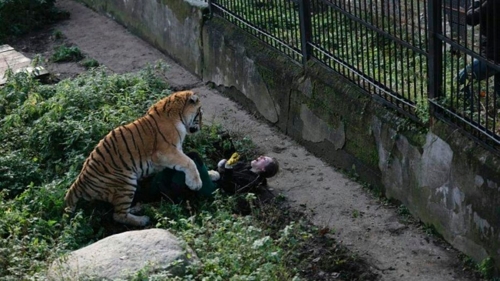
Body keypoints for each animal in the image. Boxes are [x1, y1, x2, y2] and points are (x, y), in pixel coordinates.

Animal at [64, 89, 203, 225]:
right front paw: (195, 184)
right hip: (126, 182)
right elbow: (189, 162)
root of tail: (79, 182)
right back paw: (142, 220)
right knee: (118, 215)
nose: (201, 128)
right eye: (200, 113)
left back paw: (137, 208)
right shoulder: (164, 152)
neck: (178, 114)